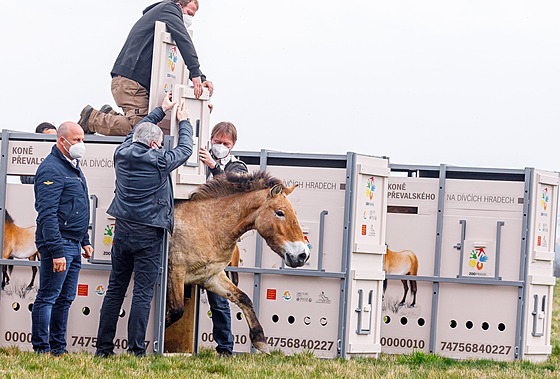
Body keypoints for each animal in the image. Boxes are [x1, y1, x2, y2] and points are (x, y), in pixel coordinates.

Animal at [166, 171, 310, 354]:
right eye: (280, 213)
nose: (303, 255)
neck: (206, 225)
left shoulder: (211, 277)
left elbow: (244, 298)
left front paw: (260, 340)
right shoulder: (175, 272)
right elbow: (176, 310)